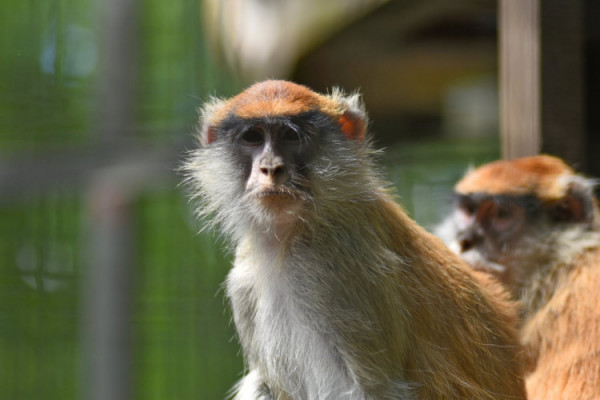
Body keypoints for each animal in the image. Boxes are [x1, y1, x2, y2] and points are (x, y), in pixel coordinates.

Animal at [184, 79, 524, 398]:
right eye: (252, 137)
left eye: (291, 136)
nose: (271, 168)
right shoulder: (244, 282)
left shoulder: (335, 264)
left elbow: (372, 390)